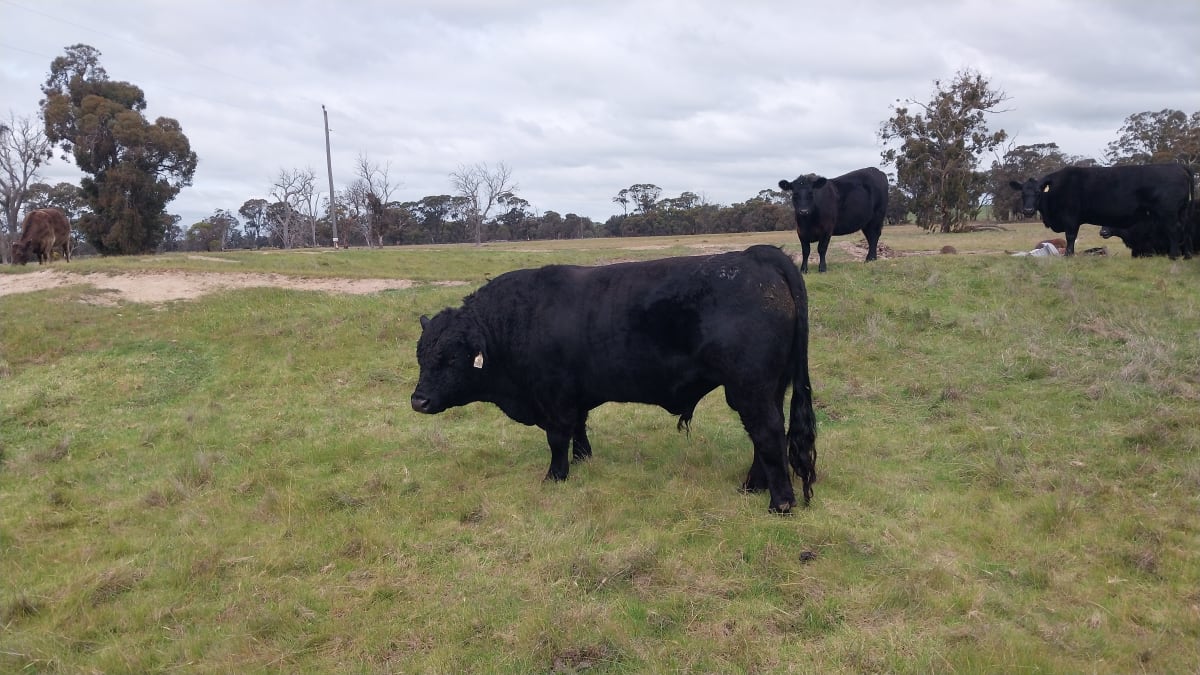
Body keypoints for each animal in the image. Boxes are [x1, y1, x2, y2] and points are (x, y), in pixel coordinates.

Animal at [410, 245, 818, 513]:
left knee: (767, 433)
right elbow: (579, 429)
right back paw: (752, 486)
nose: (419, 400)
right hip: (769, 388)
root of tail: (754, 255)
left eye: (451, 358)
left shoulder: (554, 396)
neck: (516, 321)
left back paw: (780, 502)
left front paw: (555, 476)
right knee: (766, 437)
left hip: (749, 388)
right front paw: (582, 460)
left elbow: (557, 437)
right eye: (421, 355)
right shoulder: (575, 396)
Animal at [1008, 163, 1194, 258]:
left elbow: (1070, 237)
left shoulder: (1070, 218)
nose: (1028, 210)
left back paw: (1173, 255)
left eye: (1038, 192)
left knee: (1173, 231)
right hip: (1182, 211)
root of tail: (1177, 166)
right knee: (1184, 230)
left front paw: (1068, 255)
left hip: (1168, 213)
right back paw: (1186, 255)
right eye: (1022, 193)